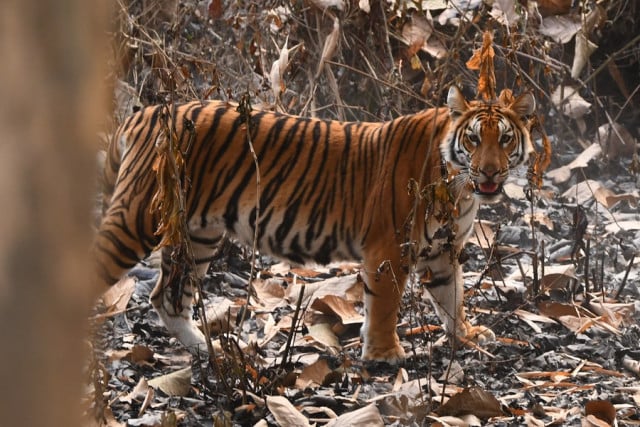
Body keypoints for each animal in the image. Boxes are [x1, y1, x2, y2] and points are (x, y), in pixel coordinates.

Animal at [95, 88, 536, 364]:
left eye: (505, 139)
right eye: (474, 139)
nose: (490, 172)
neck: (460, 189)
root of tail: (143, 115)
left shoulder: (444, 252)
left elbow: (453, 297)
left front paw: (468, 335)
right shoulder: (389, 248)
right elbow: (385, 304)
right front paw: (383, 355)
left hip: (196, 235)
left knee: (167, 298)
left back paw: (210, 351)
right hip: (137, 220)